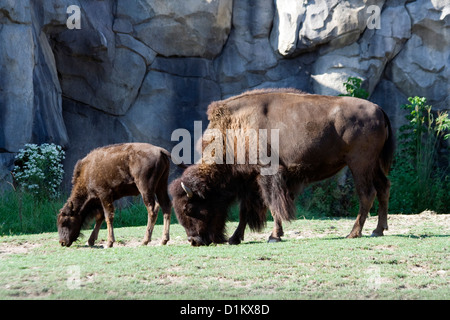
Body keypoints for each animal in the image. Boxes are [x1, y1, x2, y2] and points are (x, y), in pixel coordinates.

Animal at [169, 89, 394, 246]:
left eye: (190, 208)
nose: (194, 241)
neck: (235, 129)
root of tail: (380, 110)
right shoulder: (251, 181)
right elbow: (245, 211)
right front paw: (235, 238)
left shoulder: (267, 174)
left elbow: (273, 205)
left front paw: (274, 236)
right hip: (373, 165)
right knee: (384, 188)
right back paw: (378, 230)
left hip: (360, 164)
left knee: (367, 194)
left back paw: (354, 233)